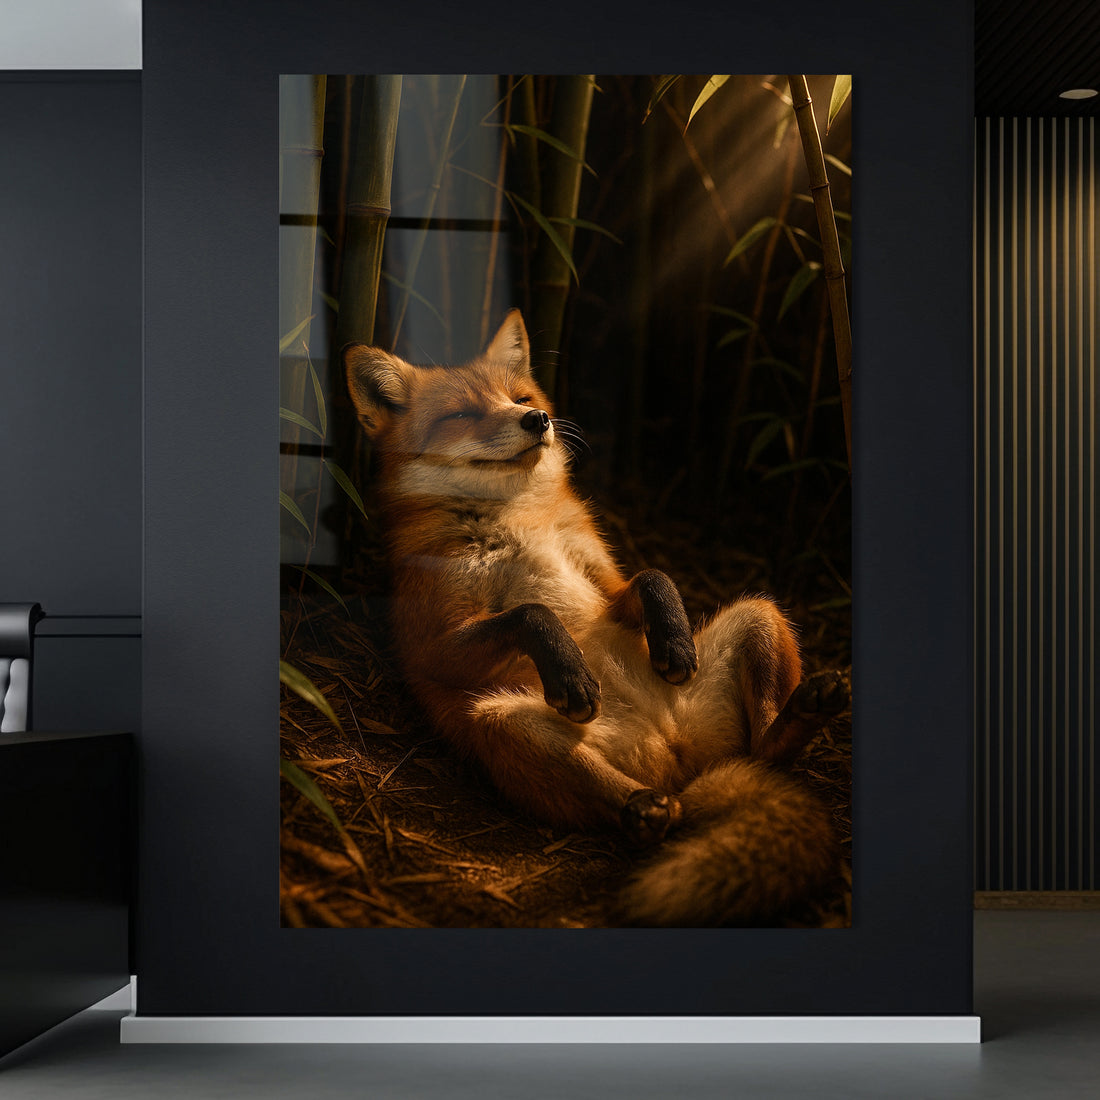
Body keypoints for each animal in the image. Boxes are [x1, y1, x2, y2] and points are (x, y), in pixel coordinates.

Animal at [344, 310, 848, 926]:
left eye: (521, 398)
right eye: (462, 414)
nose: (537, 419)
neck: (516, 520)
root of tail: (679, 759)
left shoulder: (604, 583)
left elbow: (654, 576)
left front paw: (673, 642)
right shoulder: (433, 641)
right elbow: (533, 611)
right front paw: (572, 674)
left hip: (761, 611)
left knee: (768, 752)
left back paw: (802, 710)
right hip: (499, 721)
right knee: (649, 803)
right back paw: (644, 809)